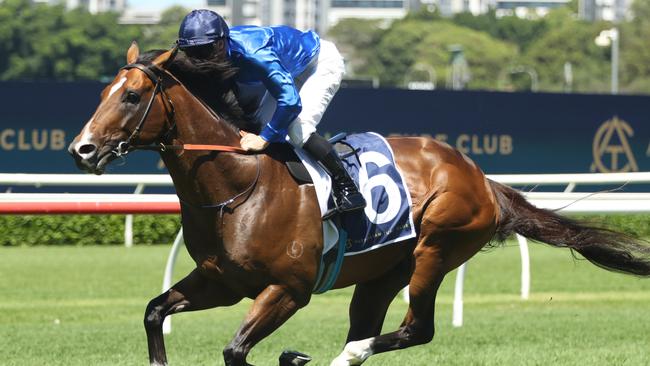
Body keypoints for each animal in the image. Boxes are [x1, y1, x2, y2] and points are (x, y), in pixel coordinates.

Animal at [68, 43, 644, 366]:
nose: (82, 149)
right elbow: (153, 312)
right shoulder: (222, 283)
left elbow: (235, 351)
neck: (240, 185)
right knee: (375, 320)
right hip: (382, 273)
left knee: (414, 329)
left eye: (131, 97)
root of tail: (481, 178)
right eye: (101, 93)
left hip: (437, 246)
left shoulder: (288, 289)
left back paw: (344, 355)